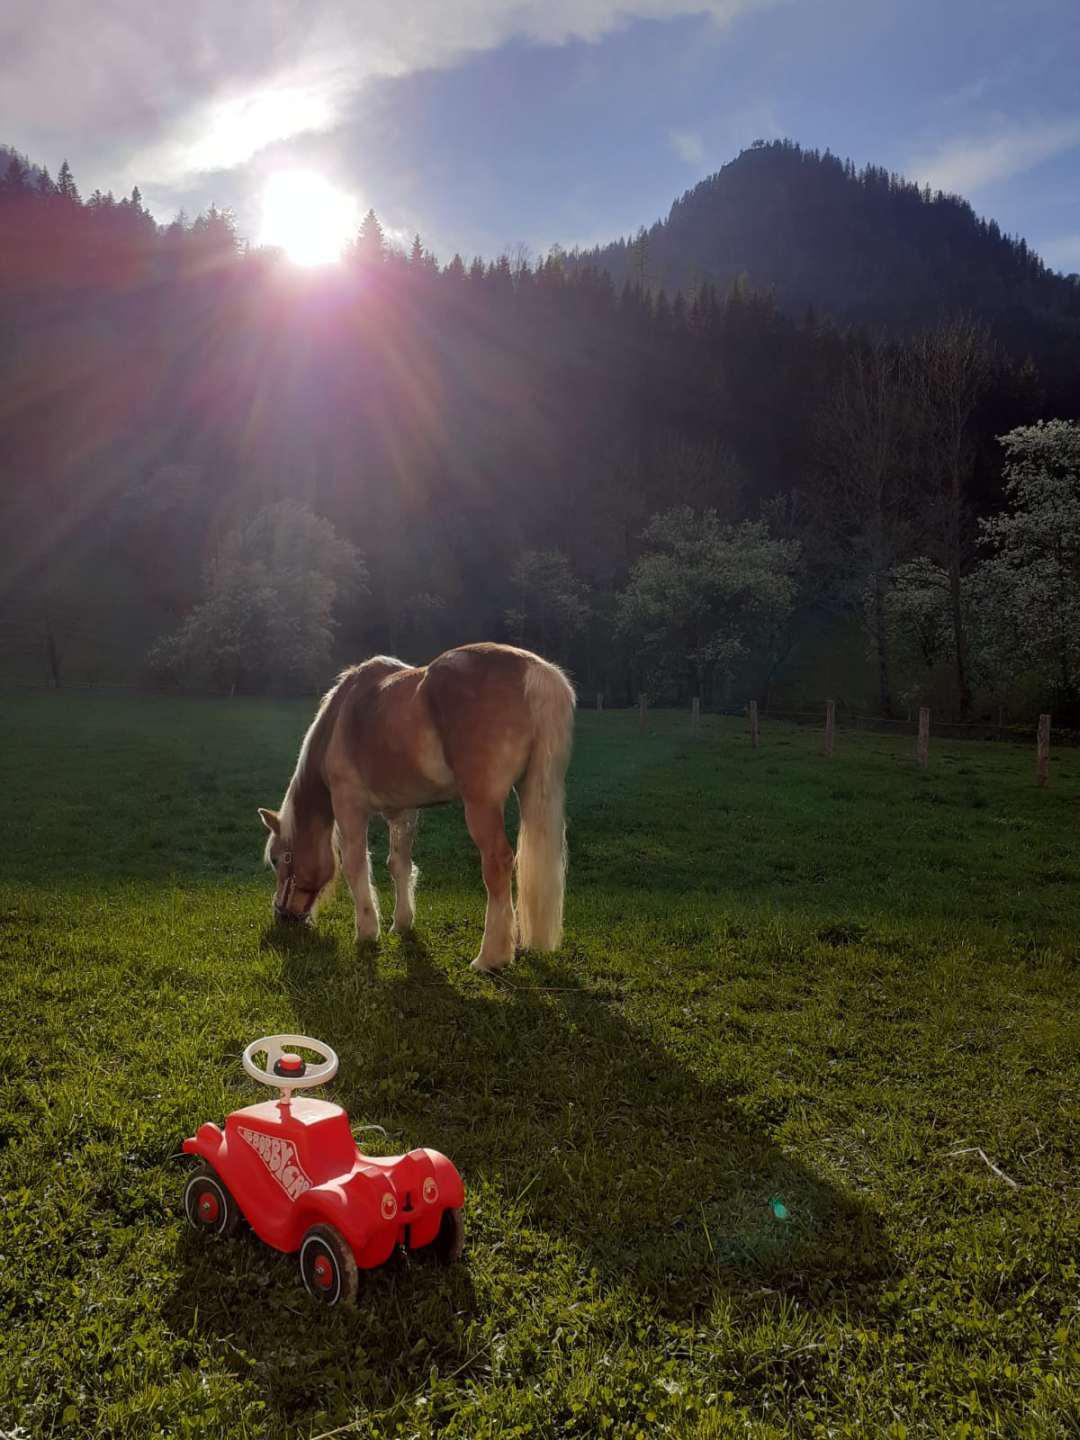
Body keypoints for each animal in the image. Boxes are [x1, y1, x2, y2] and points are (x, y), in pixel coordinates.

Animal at [259, 645, 578, 973]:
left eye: (277, 859)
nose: (282, 916)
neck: (340, 718)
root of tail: (534, 670)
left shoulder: (349, 807)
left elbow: (356, 866)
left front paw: (366, 931)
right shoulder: (403, 812)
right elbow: (398, 864)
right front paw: (401, 923)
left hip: (482, 805)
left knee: (497, 864)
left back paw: (490, 957)